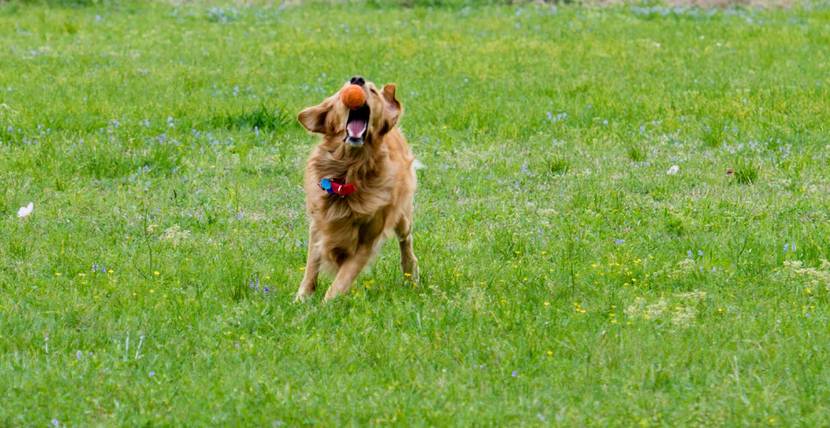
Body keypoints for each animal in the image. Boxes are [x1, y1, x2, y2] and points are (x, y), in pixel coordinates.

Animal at [294, 76, 422, 300]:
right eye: (342, 90)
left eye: (373, 91)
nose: (357, 79)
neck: (347, 173)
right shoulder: (319, 226)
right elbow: (311, 266)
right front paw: (301, 298)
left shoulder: (367, 241)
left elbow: (341, 280)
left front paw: (326, 304)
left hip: (402, 214)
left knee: (406, 240)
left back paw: (411, 274)